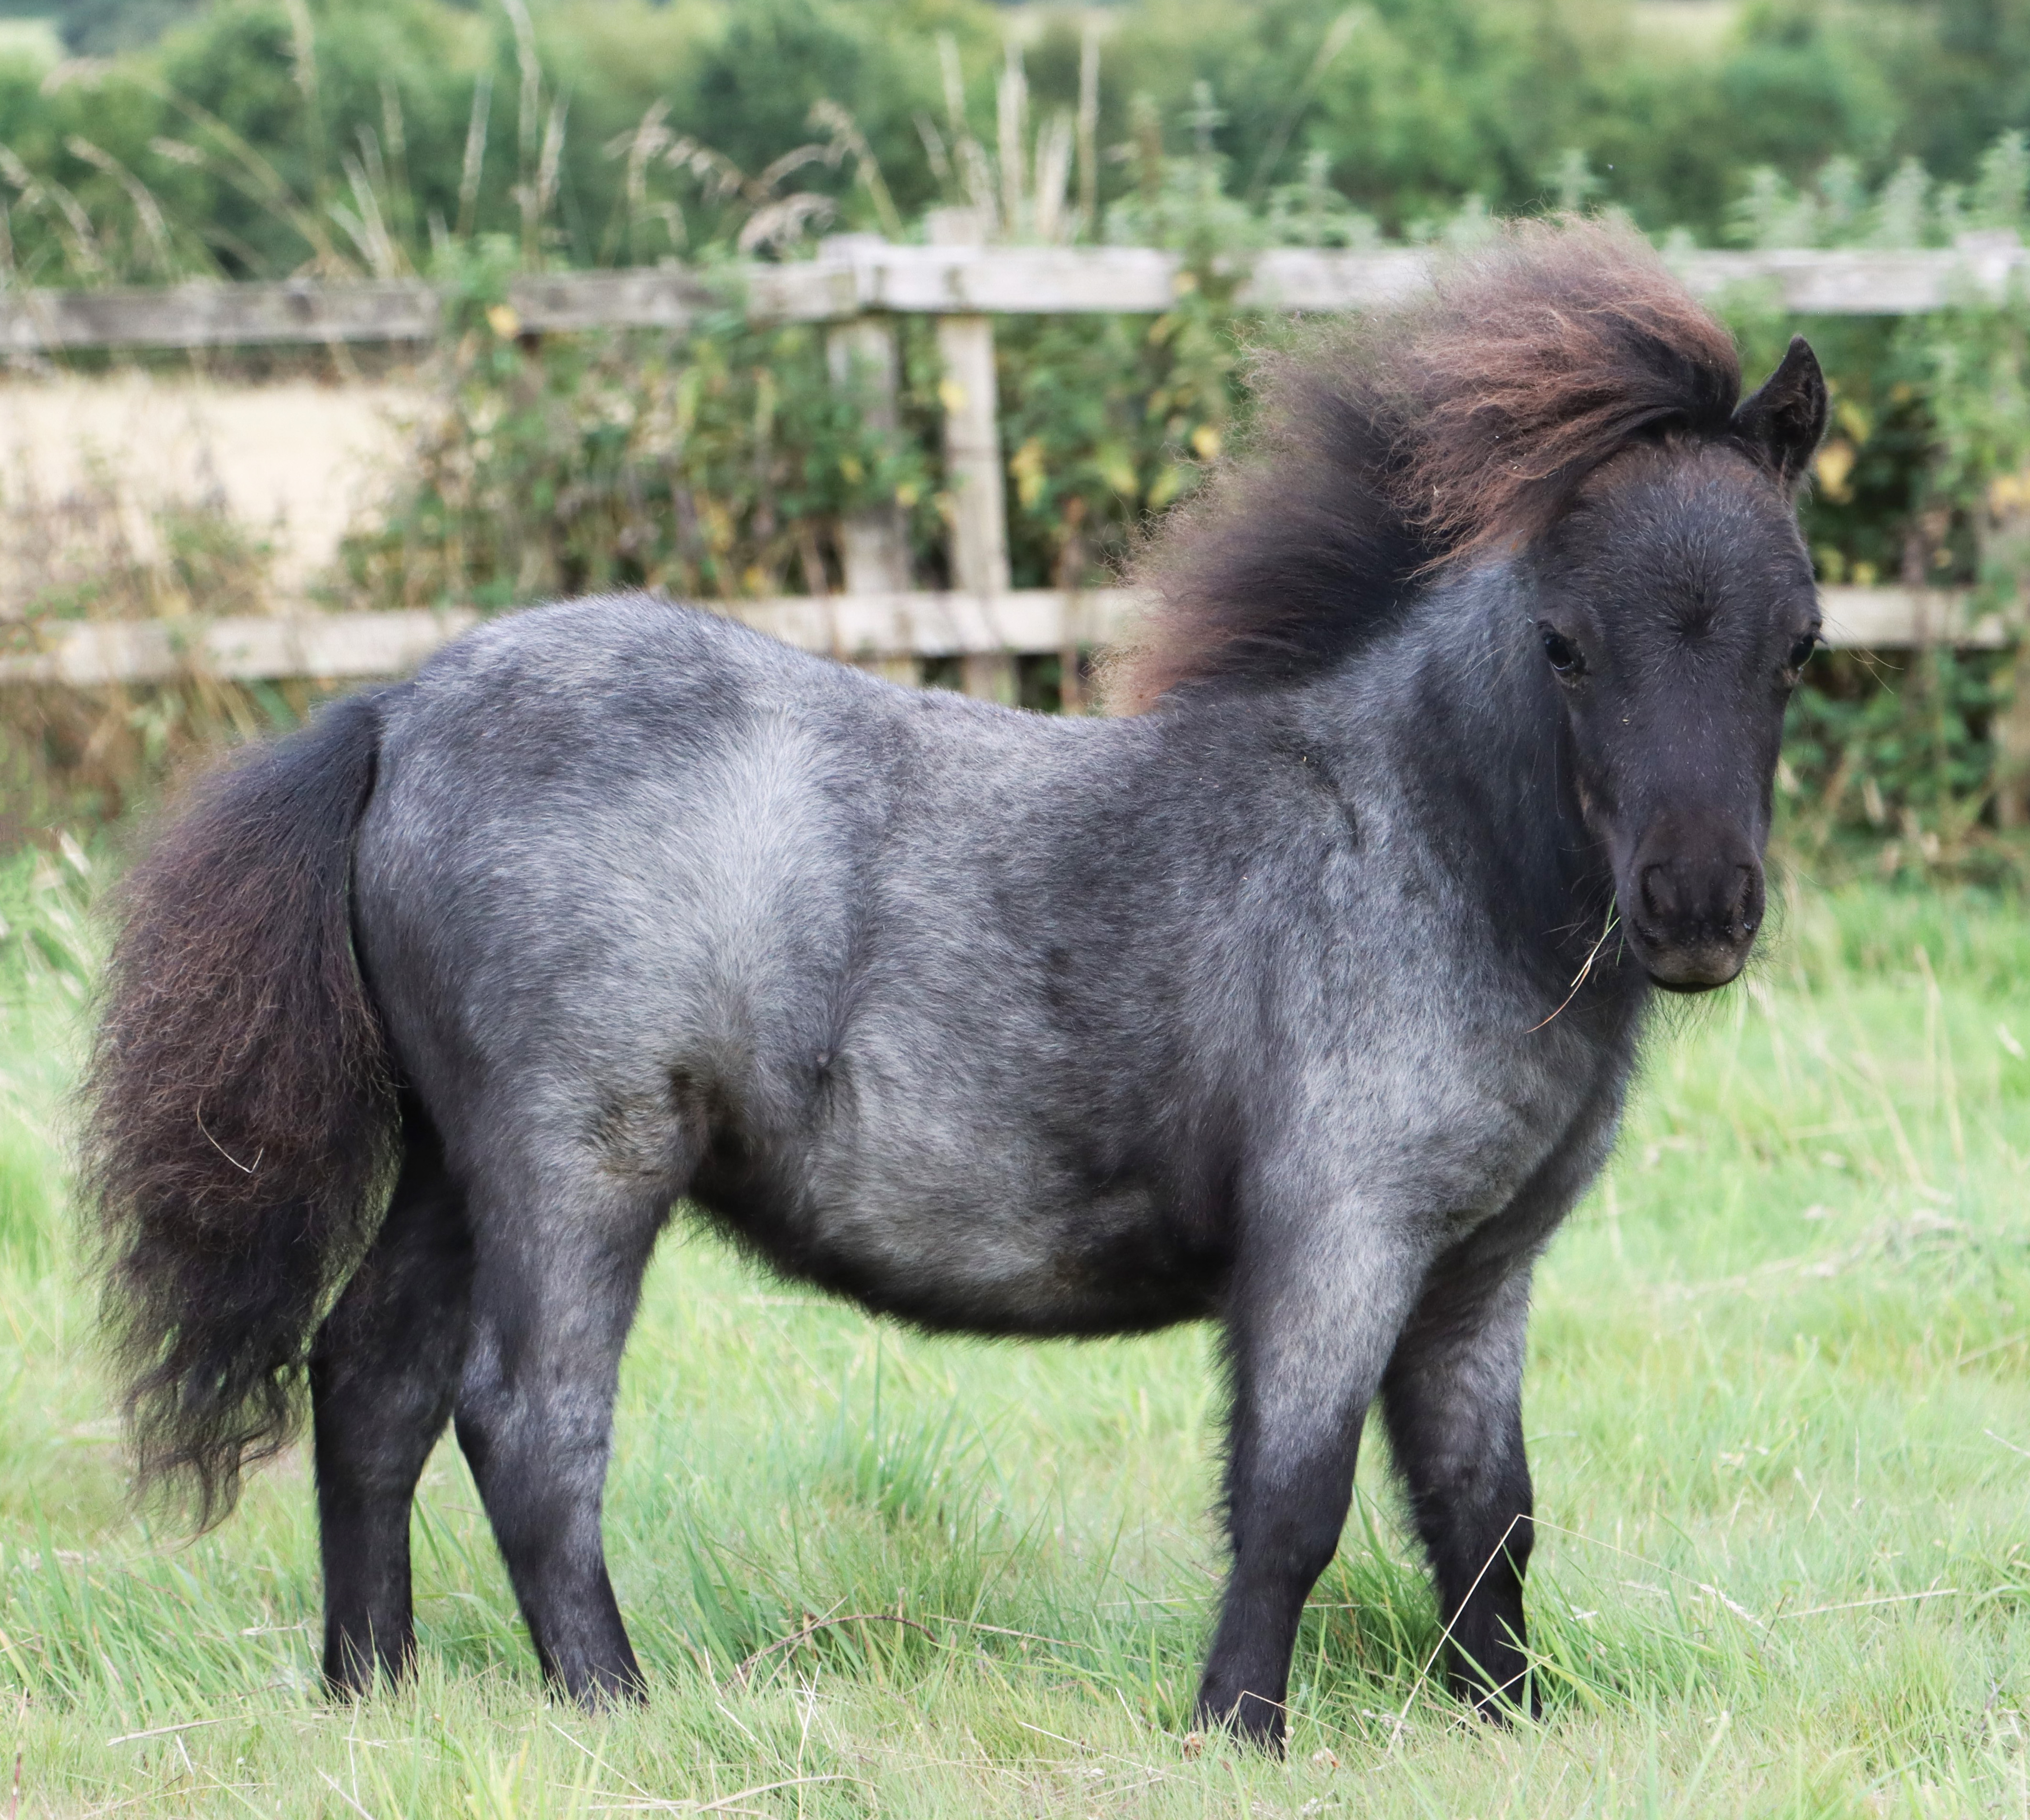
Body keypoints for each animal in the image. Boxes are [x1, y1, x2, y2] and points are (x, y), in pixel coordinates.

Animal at [83, 223, 1827, 1747]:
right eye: (1563, 643)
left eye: (1795, 642)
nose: (1696, 911)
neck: (1416, 839)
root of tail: (396, 709)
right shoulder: (1335, 1237)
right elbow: (1289, 1497)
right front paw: (1235, 1731)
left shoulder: (1477, 1275)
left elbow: (1485, 1512)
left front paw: (1506, 1723)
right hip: (573, 1163)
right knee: (526, 1422)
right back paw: (616, 1710)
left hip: (456, 1166)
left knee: (370, 1385)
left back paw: (371, 1694)